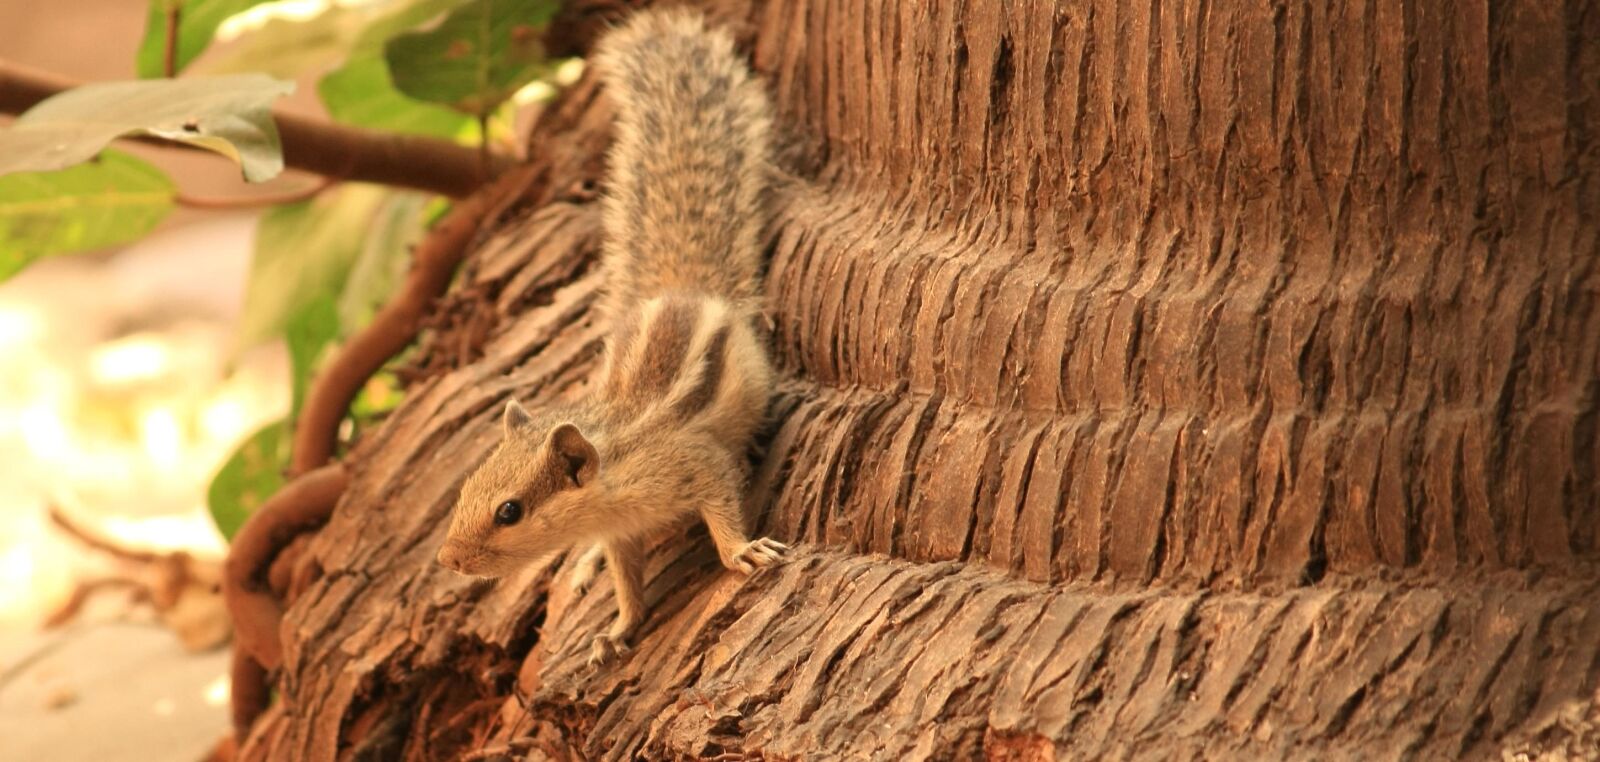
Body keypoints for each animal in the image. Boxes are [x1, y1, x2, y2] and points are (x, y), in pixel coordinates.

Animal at [435, 8, 787, 667]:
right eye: (464, 488)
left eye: (509, 510)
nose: (450, 559)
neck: (610, 483)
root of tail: (681, 284)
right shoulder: (622, 532)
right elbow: (627, 579)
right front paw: (619, 626)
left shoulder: (692, 464)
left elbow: (721, 503)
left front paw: (740, 552)